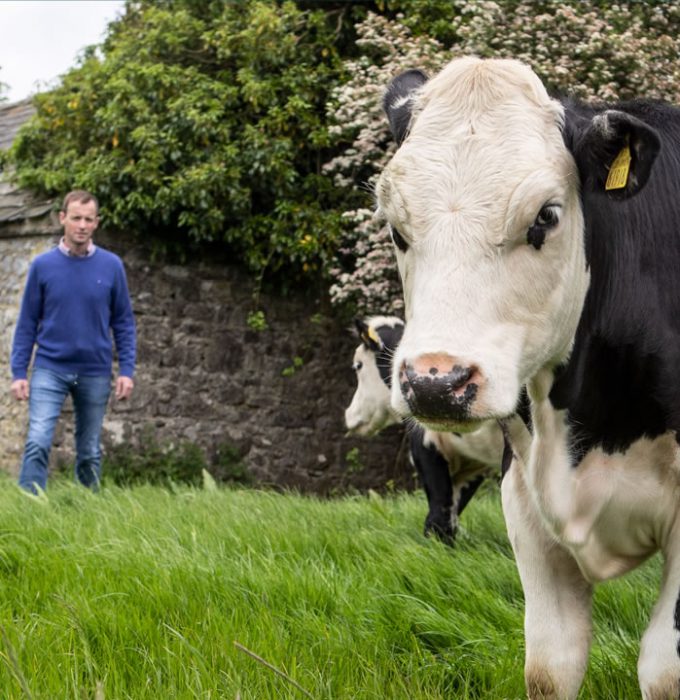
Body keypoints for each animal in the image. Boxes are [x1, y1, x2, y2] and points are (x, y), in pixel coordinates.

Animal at [380, 57, 680, 696]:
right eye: (396, 228)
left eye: (546, 216)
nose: (436, 381)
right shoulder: (522, 493)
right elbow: (549, 665)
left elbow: (662, 669)